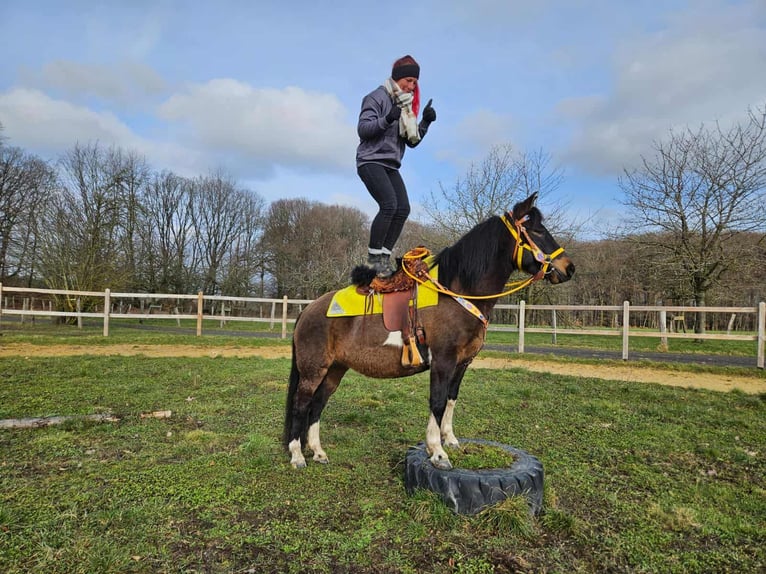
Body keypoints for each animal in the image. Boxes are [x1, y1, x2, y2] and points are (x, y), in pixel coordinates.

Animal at [283, 192, 575, 470]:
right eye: (537, 231)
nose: (568, 268)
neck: (457, 292)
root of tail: (308, 310)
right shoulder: (443, 361)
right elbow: (437, 401)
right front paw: (437, 451)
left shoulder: (462, 363)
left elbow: (451, 399)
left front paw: (450, 439)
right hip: (313, 370)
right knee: (301, 404)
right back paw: (297, 455)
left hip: (335, 369)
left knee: (317, 404)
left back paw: (318, 452)